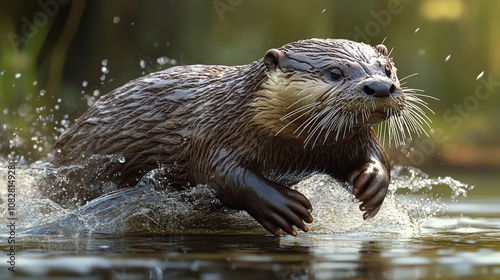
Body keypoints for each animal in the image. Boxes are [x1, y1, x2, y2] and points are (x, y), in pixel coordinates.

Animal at [49, 38, 430, 236]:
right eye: (335, 72)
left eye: (387, 69)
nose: (379, 86)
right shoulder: (213, 134)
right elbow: (221, 175)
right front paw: (283, 206)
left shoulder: (343, 142)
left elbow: (374, 155)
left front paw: (372, 184)